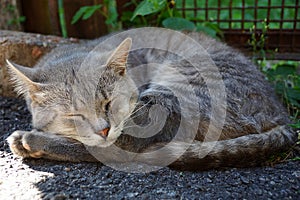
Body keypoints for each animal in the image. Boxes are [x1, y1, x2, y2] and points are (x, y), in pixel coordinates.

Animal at [5, 27, 296, 170]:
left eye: (109, 103)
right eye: (74, 115)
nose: (104, 129)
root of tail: (280, 114)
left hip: (173, 90)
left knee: (117, 150)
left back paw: (29, 141)